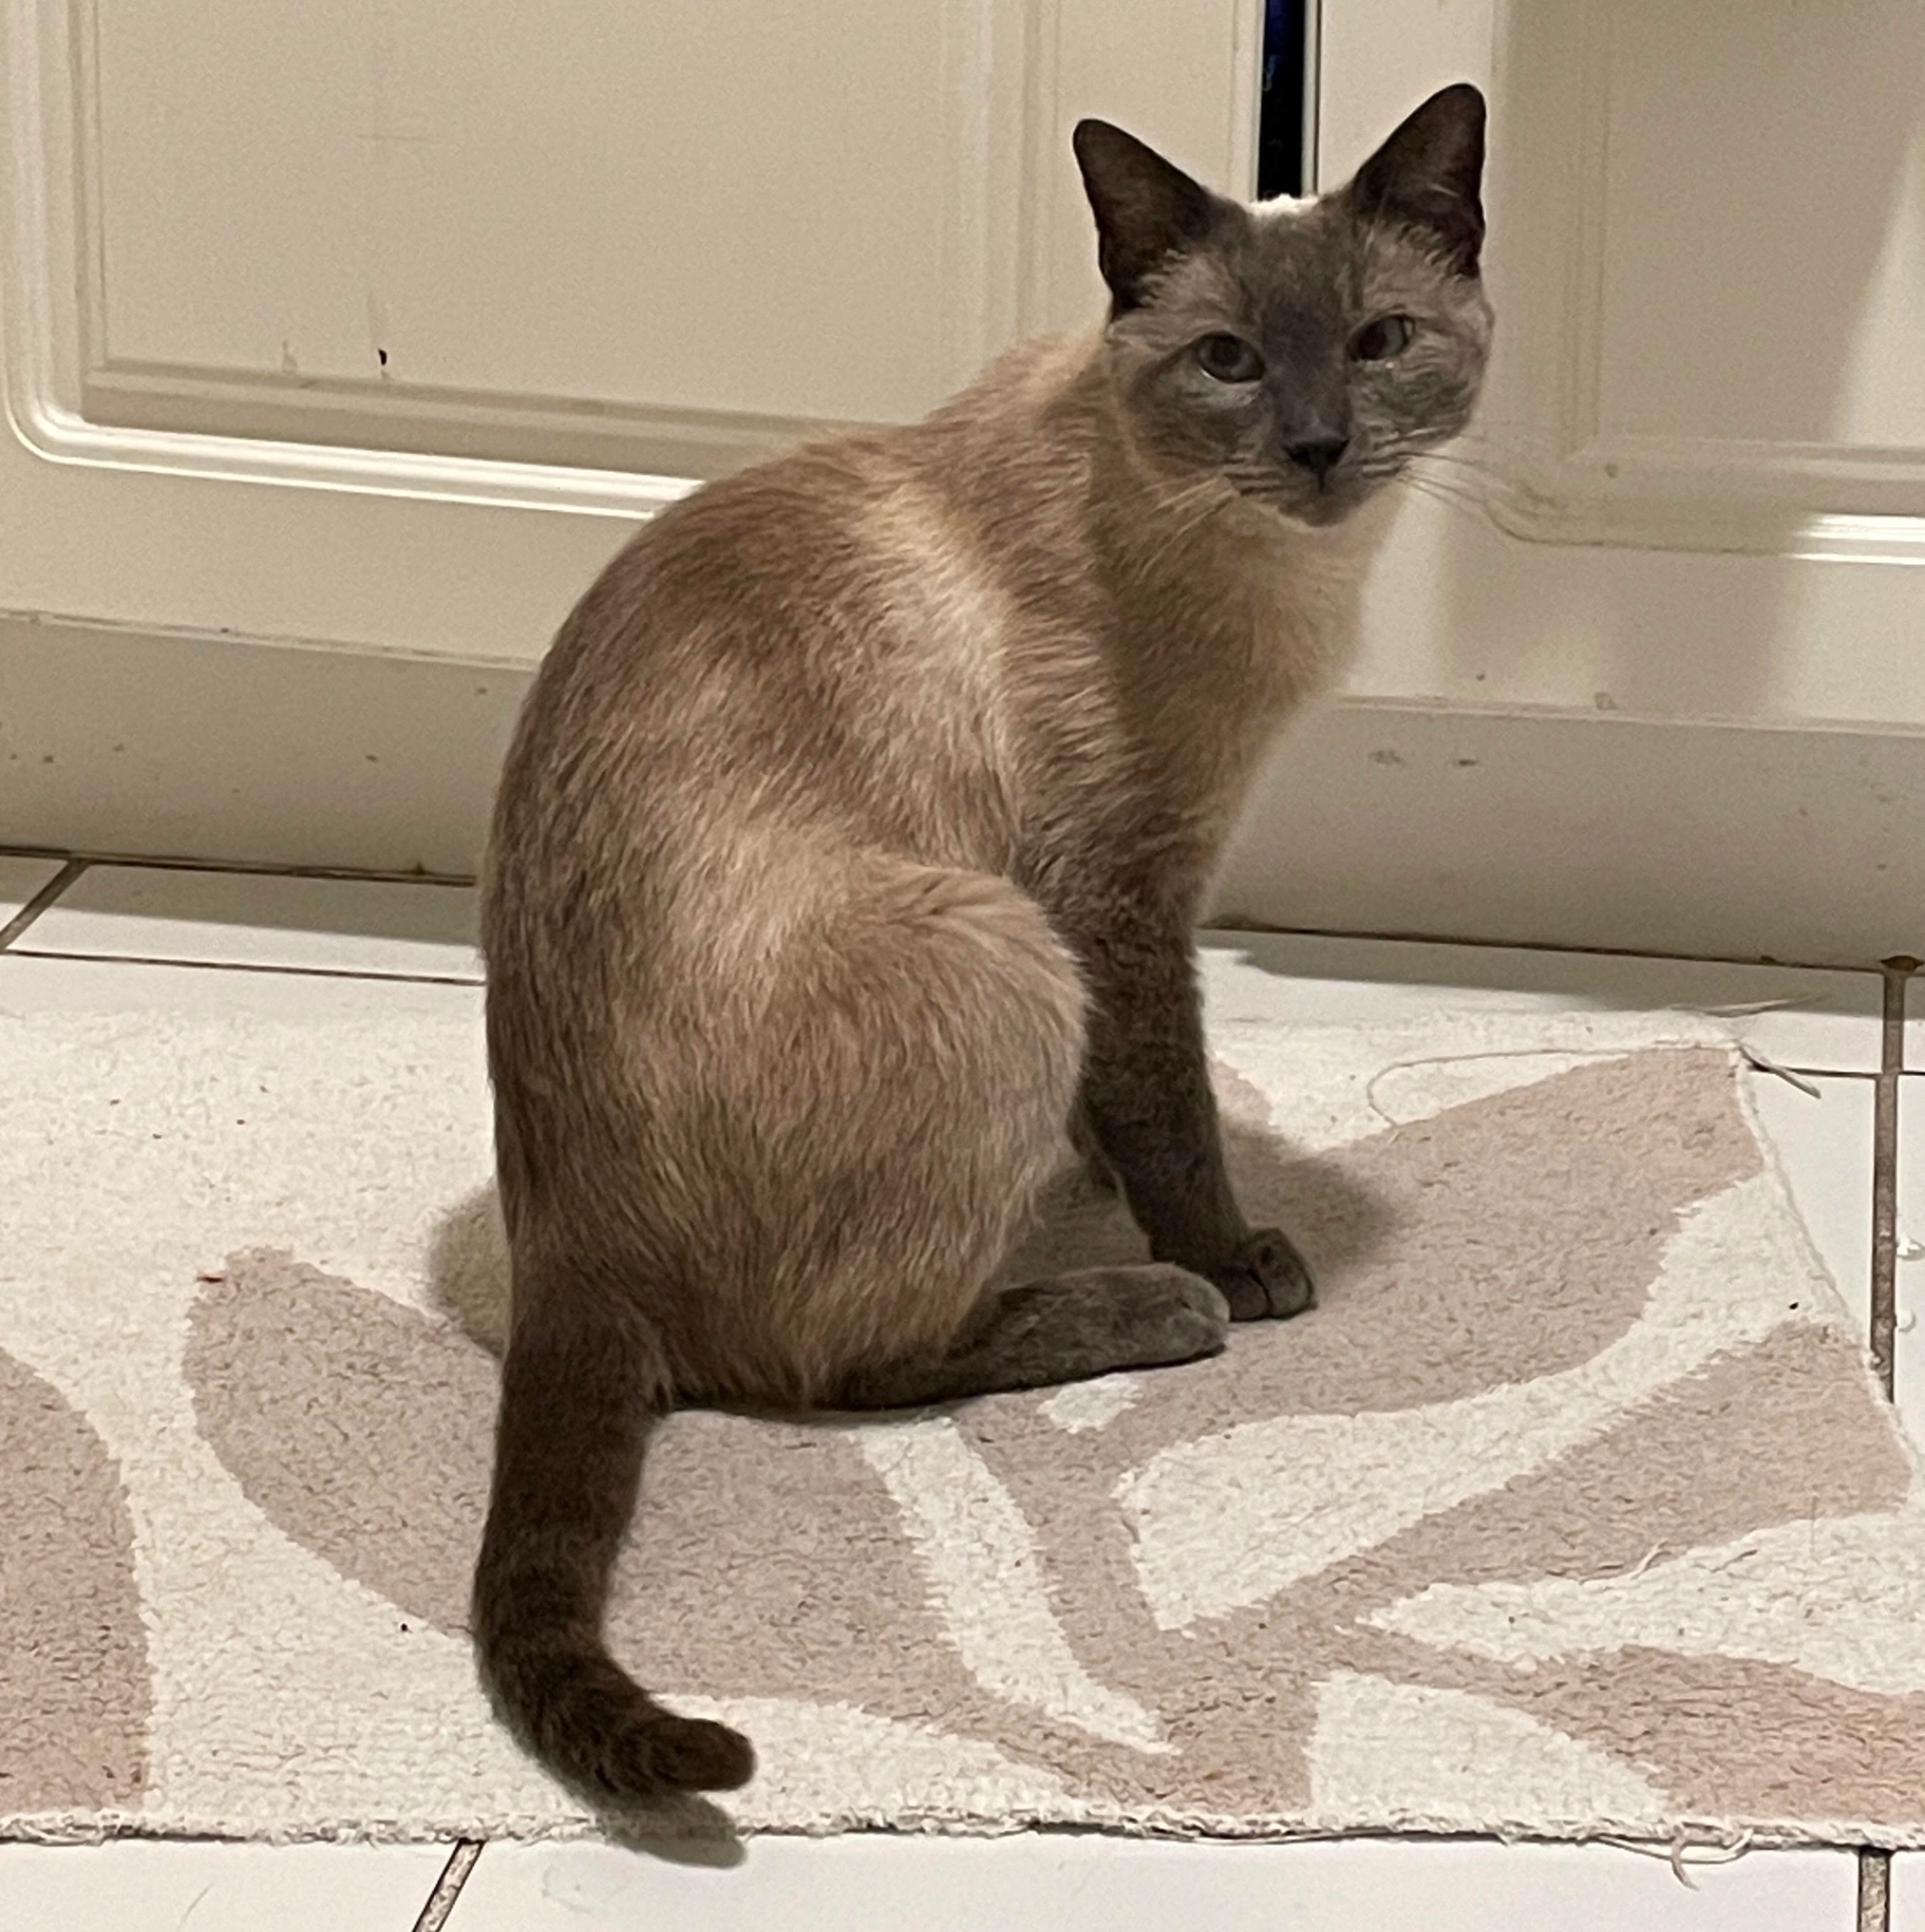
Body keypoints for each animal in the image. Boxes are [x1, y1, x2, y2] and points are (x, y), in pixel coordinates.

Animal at [473, 82, 1491, 1809]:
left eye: (1379, 340)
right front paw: (1236, 1254)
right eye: (1228, 360)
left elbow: (1125, 1105)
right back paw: (1166, 1301)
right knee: (844, 1367)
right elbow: (1171, 1107)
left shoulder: (1126, 903)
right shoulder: (1114, 902)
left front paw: (1088, 1171)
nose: (1315, 445)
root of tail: (565, 1249)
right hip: (995, 946)